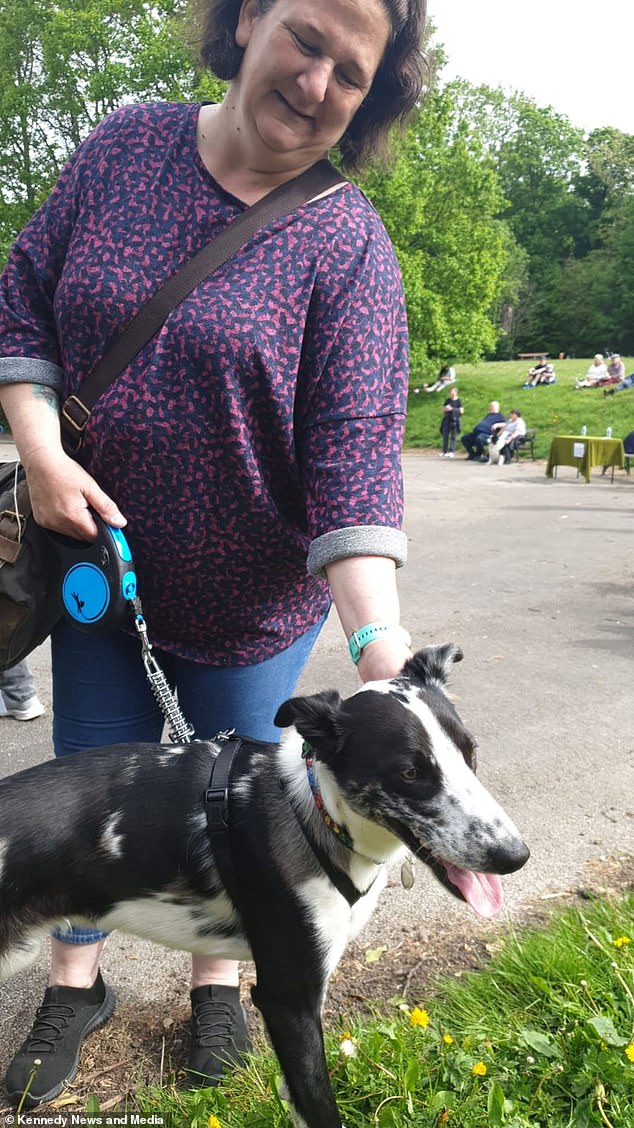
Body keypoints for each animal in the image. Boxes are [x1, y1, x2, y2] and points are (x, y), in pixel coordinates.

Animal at [0, 645, 525, 1128]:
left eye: (470, 753)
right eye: (411, 771)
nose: (514, 856)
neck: (315, 812)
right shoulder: (289, 1000)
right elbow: (320, 1105)